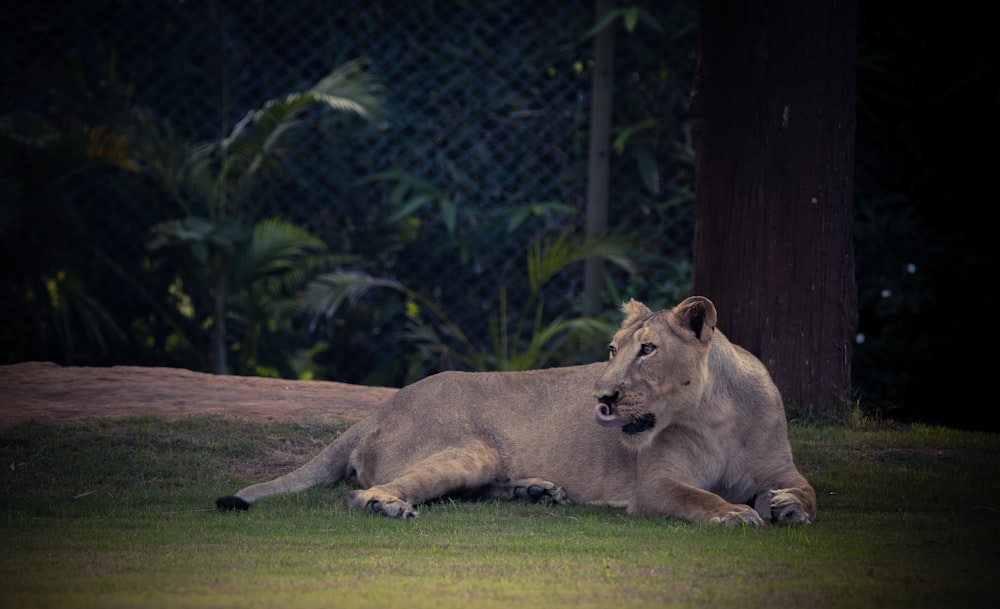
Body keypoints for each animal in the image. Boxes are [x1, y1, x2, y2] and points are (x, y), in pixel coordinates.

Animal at [215, 296, 816, 524]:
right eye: (612, 350)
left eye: (647, 350)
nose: (600, 396)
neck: (716, 414)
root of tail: (386, 402)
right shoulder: (655, 485)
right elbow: (698, 496)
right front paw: (735, 512)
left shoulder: (779, 466)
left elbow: (807, 490)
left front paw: (786, 507)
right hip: (471, 450)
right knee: (365, 493)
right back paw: (388, 505)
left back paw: (535, 491)